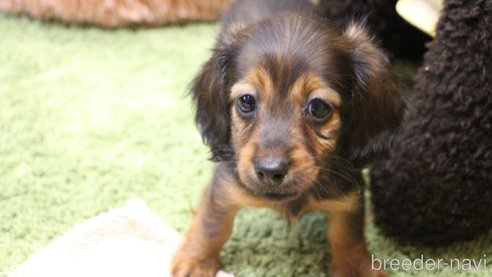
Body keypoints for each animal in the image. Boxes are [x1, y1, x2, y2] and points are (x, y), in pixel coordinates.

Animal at [171, 1, 402, 274]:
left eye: (319, 107)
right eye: (246, 101)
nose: (270, 171)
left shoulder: (348, 195)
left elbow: (347, 233)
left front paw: (353, 268)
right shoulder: (225, 187)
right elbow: (212, 224)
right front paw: (196, 260)